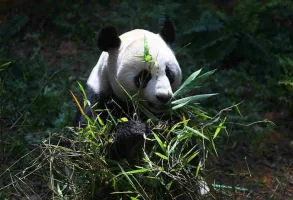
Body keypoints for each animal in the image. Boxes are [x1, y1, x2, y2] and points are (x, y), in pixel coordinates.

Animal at [75, 19, 180, 161]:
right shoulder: (97, 100)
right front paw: (136, 129)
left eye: (169, 73)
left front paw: (164, 126)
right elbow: (89, 147)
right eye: (144, 76)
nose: (163, 96)